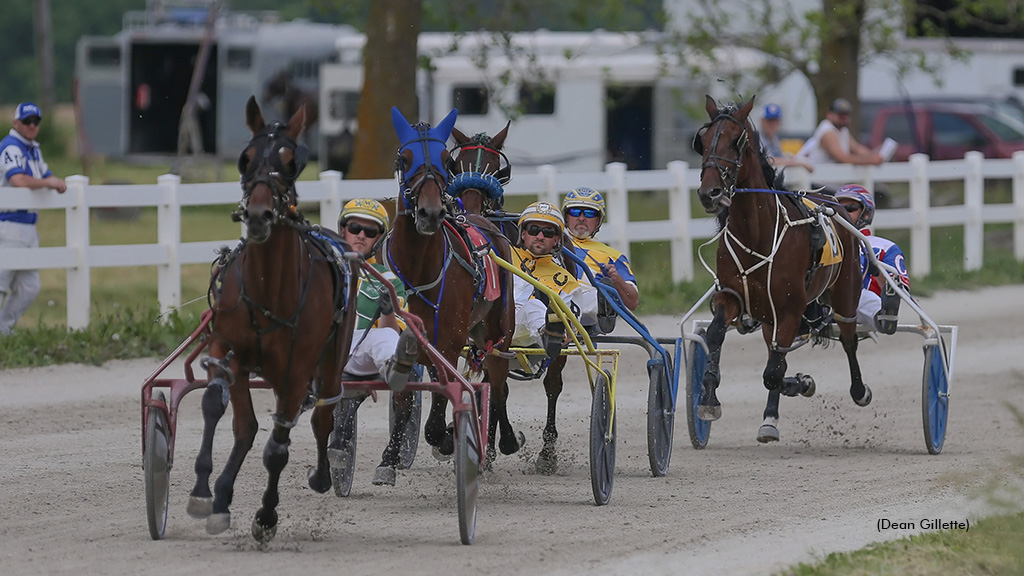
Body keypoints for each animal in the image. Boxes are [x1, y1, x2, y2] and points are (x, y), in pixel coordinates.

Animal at [186, 96, 358, 541]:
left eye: (293, 161)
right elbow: (218, 407)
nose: (260, 215)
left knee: (322, 416)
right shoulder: (227, 346)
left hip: (331, 359)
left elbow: (278, 447)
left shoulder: (296, 370)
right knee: (250, 427)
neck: (268, 290)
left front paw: (265, 515)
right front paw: (206, 493)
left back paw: (323, 474)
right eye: (246, 158)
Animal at [387, 106, 524, 467]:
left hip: (498, 329)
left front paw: (448, 435)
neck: (421, 268)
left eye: (445, 158)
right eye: (405, 159)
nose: (431, 213)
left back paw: (501, 441)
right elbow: (406, 398)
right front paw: (391, 455)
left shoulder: (448, 341)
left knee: (498, 381)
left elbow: (439, 413)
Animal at [692, 96, 868, 440]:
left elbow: (772, 372)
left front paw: (799, 382)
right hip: (768, 316)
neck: (757, 234)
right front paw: (708, 397)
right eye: (702, 142)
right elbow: (717, 334)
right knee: (775, 351)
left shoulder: (791, 308)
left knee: (848, 338)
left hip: (845, 293)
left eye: (737, 140)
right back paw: (772, 414)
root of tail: (835, 203)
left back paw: (859, 390)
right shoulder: (733, 296)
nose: (710, 193)